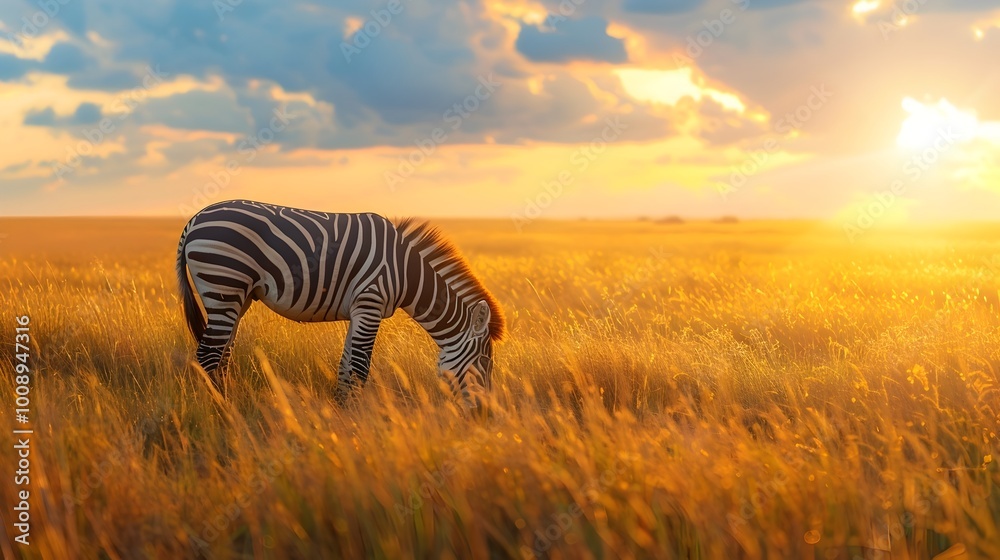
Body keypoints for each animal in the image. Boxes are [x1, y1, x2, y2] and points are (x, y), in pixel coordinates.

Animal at [176, 200, 505, 406]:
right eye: (483, 364)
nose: (484, 415)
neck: (407, 272)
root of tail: (194, 219)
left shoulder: (360, 312)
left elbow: (346, 367)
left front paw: (343, 412)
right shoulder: (370, 303)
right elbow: (359, 368)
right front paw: (356, 419)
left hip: (236, 297)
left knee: (222, 354)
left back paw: (226, 402)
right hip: (224, 282)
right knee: (207, 355)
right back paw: (217, 410)